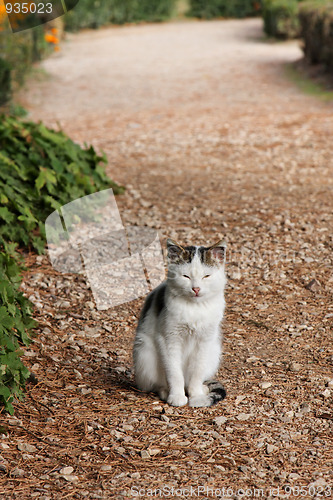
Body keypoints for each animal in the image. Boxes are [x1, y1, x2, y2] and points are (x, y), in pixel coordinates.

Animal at [132, 237, 226, 406]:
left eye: (206, 276)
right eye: (186, 276)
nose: (196, 289)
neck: (195, 307)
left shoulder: (205, 341)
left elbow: (197, 371)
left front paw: (196, 396)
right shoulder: (169, 339)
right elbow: (174, 373)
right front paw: (176, 396)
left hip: (214, 351)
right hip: (144, 352)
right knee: (157, 383)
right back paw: (165, 392)